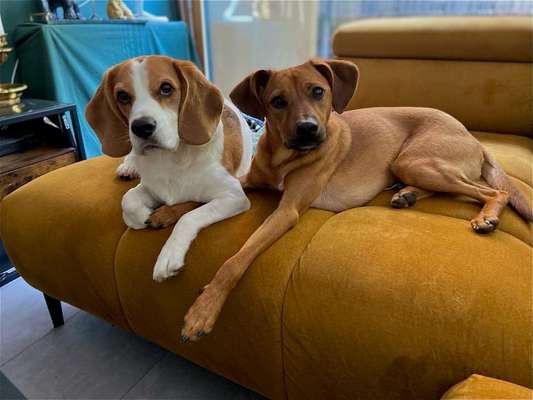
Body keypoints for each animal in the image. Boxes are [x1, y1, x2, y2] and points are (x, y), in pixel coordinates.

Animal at [86, 55, 252, 282]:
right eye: (122, 96)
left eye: (166, 88)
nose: (142, 127)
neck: (172, 160)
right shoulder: (151, 186)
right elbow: (127, 200)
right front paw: (140, 216)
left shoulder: (233, 196)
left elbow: (188, 216)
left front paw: (169, 254)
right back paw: (128, 167)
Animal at [177, 57, 528, 342]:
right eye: (277, 101)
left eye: (318, 92)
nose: (308, 129)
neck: (282, 156)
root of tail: (473, 138)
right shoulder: (245, 182)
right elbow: (192, 203)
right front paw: (169, 214)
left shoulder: (287, 211)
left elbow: (235, 260)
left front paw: (203, 310)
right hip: (412, 165)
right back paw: (406, 195)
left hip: (415, 160)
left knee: (493, 191)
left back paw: (485, 216)